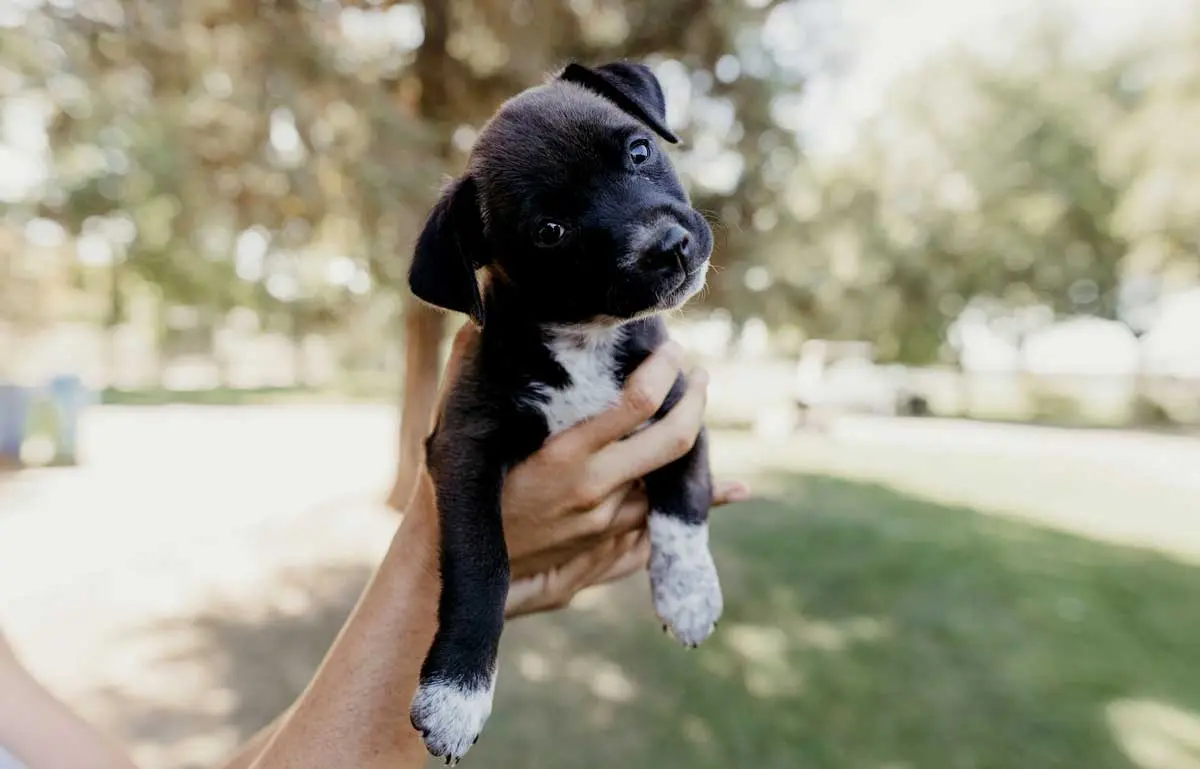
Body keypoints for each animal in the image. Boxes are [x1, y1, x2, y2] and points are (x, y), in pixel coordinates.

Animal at [410, 59, 720, 763]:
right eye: (550, 231)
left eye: (640, 151)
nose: (671, 246)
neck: (587, 340)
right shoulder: (464, 446)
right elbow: (482, 563)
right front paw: (456, 693)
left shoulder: (680, 408)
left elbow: (684, 502)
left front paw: (688, 594)